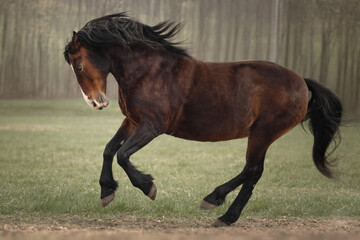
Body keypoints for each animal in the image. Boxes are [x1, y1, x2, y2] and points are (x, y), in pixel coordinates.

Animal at [63, 13, 342, 227]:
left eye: (79, 67)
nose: (97, 103)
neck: (149, 72)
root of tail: (302, 82)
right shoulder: (132, 121)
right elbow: (109, 149)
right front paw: (106, 191)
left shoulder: (152, 126)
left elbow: (122, 155)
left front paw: (148, 186)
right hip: (261, 134)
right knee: (254, 172)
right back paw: (223, 212)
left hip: (263, 132)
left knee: (252, 171)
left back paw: (217, 205)